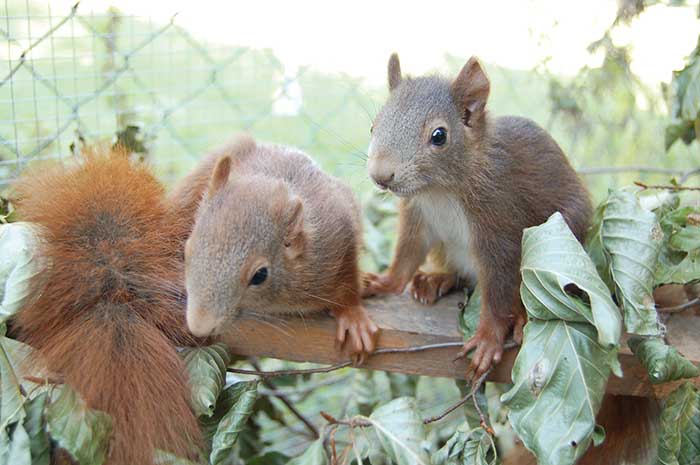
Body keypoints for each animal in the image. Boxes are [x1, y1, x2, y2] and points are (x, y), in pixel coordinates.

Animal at [170, 135, 379, 362]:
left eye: (260, 275)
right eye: (186, 252)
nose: (200, 326)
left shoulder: (338, 235)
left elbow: (348, 282)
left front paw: (353, 317)